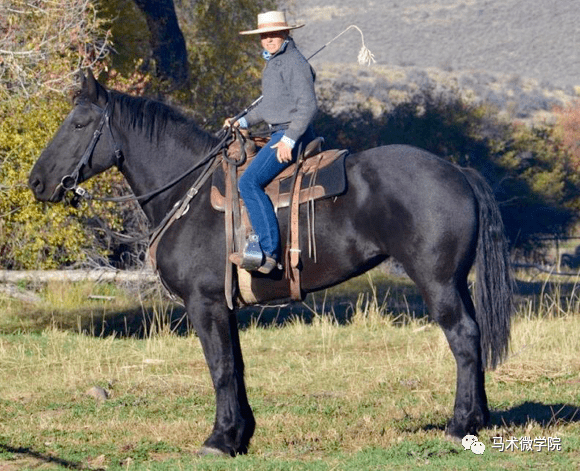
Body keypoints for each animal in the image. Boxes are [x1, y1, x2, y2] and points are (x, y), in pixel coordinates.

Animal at [30, 70, 512, 458]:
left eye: (78, 123)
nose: (37, 182)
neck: (189, 192)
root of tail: (457, 171)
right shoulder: (224, 306)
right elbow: (237, 367)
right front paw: (240, 436)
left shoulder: (204, 304)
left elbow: (220, 368)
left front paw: (218, 440)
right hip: (456, 282)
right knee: (474, 336)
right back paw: (477, 420)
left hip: (437, 282)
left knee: (463, 339)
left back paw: (458, 426)